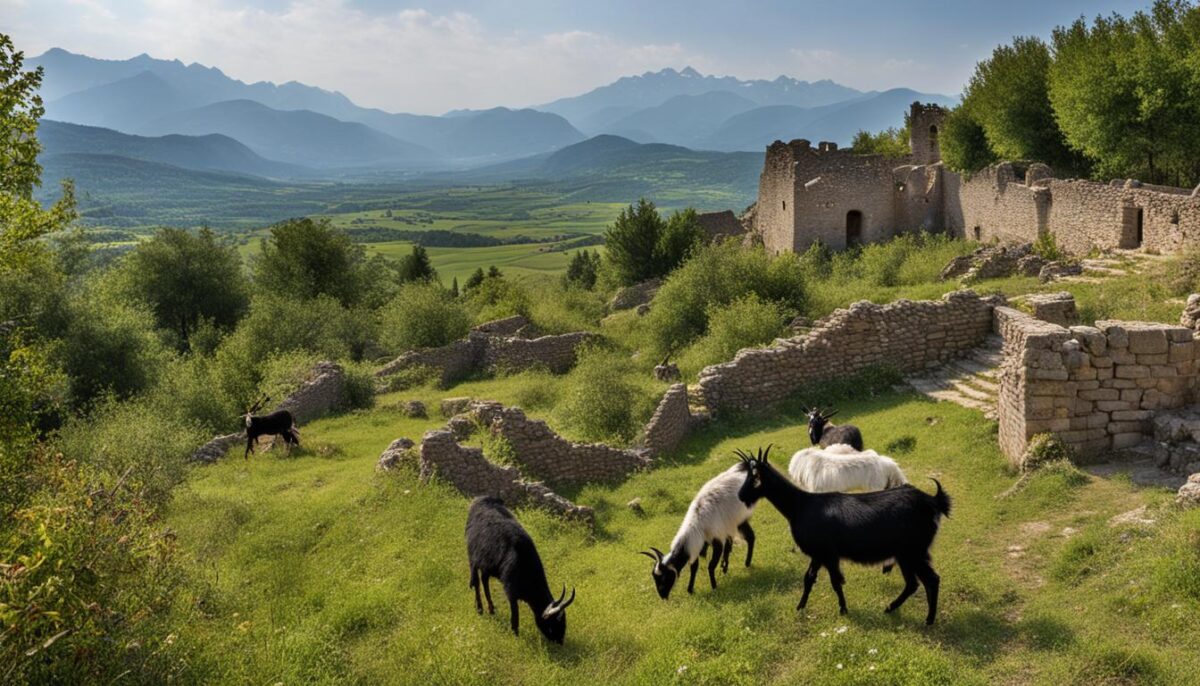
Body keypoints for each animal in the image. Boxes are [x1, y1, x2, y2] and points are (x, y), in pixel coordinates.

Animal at [465, 496, 575, 643]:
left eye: (563, 621)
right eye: (553, 623)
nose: (560, 641)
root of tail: (481, 500)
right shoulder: (511, 591)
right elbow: (515, 616)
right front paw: (515, 635)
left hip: (487, 565)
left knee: (484, 580)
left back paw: (491, 608)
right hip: (473, 558)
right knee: (476, 582)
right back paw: (480, 609)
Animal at [640, 462, 756, 599]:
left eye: (664, 577)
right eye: (655, 577)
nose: (663, 596)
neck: (697, 524)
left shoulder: (716, 541)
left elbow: (711, 566)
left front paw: (714, 586)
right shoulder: (698, 545)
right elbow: (694, 567)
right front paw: (690, 589)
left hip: (740, 520)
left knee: (750, 537)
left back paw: (747, 564)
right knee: (733, 541)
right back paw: (725, 566)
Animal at [735, 445, 951, 625]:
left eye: (755, 478)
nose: (741, 496)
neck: (799, 506)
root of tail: (933, 501)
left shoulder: (828, 554)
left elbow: (835, 581)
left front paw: (843, 610)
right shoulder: (818, 554)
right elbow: (808, 578)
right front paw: (800, 606)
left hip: (913, 552)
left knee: (931, 580)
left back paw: (928, 620)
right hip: (906, 555)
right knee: (913, 583)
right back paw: (890, 608)